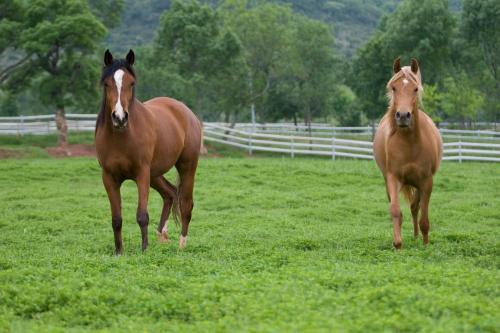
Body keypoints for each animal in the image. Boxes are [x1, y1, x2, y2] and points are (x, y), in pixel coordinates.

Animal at [95, 49, 201, 253]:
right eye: (106, 84)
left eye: (131, 83)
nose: (120, 117)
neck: (123, 136)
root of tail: (185, 111)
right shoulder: (109, 177)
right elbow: (116, 219)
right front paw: (119, 252)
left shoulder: (141, 173)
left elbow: (142, 215)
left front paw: (144, 250)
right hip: (155, 173)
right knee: (170, 193)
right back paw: (162, 235)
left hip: (186, 166)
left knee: (186, 204)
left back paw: (181, 244)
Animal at [374, 57, 444, 249]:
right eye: (394, 88)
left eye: (415, 89)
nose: (403, 116)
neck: (409, 145)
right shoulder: (393, 178)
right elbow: (395, 211)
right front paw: (397, 244)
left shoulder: (426, 181)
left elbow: (424, 218)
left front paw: (426, 245)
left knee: (415, 207)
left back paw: (417, 236)